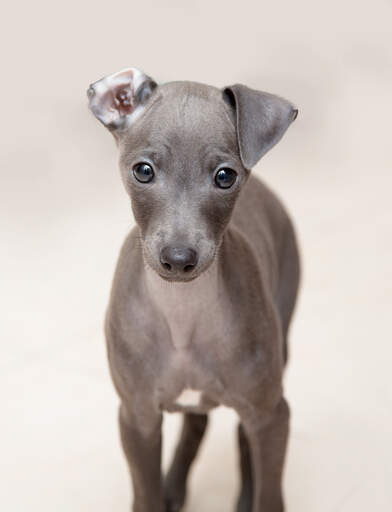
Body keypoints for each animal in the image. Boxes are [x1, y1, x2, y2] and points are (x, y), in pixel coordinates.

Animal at [86, 69, 300, 512]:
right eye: (143, 171)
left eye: (225, 176)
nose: (179, 258)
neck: (182, 314)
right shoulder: (136, 418)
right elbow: (145, 495)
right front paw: (160, 492)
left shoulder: (273, 414)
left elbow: (270, 491)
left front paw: (256, 493)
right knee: (196, 422)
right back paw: (174, 486)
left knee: (240, 434)